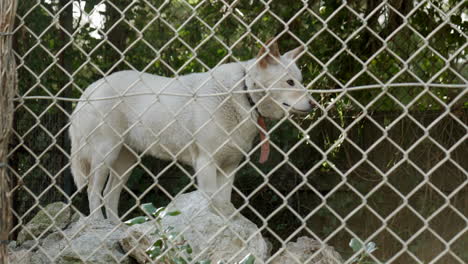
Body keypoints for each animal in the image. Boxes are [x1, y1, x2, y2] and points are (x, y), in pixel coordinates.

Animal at [69, 39, 312, 221]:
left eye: (300, 81)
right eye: (290, 82)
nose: (313, 104)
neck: (242, 95)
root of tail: (90, 89)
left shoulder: (229, 167)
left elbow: (225, 203)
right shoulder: (206, 163)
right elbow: (213, 204)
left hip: (125, 162)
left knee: (109, 195)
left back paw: (116, 228)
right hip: (105, 155)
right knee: (93, 191)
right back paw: (99, 225)